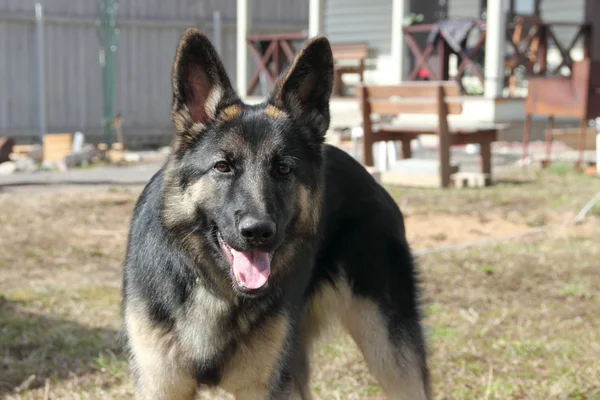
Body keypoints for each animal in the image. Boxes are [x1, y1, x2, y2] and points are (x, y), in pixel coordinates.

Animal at [122, 28, 432, 400]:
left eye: (283, 169)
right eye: (223, 167)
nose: (258, 231)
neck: (214, 289)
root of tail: (372, 179)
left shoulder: (264, 388)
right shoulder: (160, 386)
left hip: (389, 354)